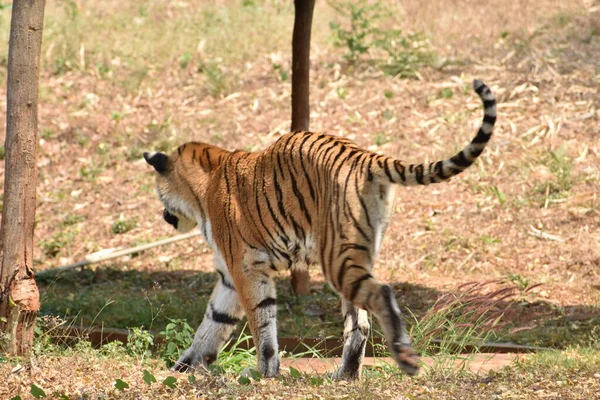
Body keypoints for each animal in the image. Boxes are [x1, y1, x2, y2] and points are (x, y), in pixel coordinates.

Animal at [144, 79, 496, 382]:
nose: (162, 214)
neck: (202, 190)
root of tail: (364, 155)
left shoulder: (245, 269)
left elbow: (261, 323)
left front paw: (263, 371)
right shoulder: (229, 276)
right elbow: (213, 322)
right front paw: (185, 365)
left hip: (337, 258)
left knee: (380, 294)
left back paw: (404, 358)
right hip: (354, 255)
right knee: (360, 324)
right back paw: (346, 375)